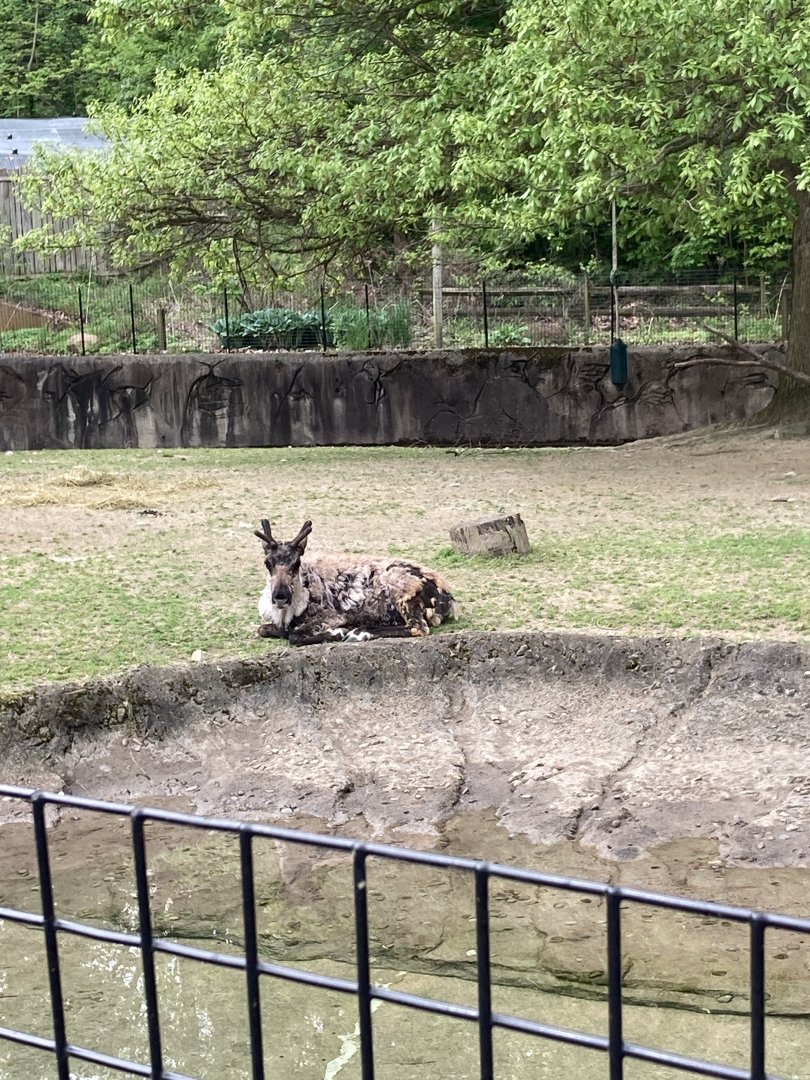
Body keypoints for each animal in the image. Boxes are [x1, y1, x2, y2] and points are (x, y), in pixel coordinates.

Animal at [254, 518, 456, 645]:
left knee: (418, 627)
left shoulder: (332, 615)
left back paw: (357, 633)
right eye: (267, 563)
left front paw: (338, 632)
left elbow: (294, 636)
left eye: (296, 563)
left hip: (402, 590)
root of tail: (448, 600)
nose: (280, 596)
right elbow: (263, 629)